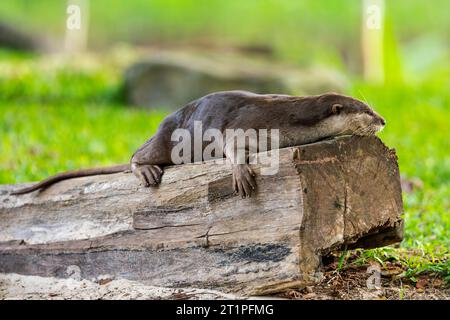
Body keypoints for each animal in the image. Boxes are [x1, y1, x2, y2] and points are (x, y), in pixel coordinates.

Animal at [10, 90, 384, 198]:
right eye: (367, 111)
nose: (383, 120)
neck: (289, 116)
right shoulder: (247, 125)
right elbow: (233, 146)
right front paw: (241, 174)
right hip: (166, 137)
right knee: (137, 154)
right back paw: (145, 170)